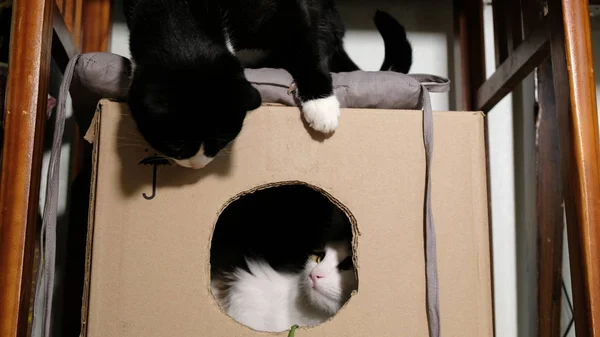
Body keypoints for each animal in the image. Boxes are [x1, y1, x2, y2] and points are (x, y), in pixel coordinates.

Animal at [123, 0, 410, 168]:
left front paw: (321, 105)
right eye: (175, 147)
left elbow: (305, 47)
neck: (177, 13)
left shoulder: (289, 8)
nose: (197, 165)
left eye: (224, 139)